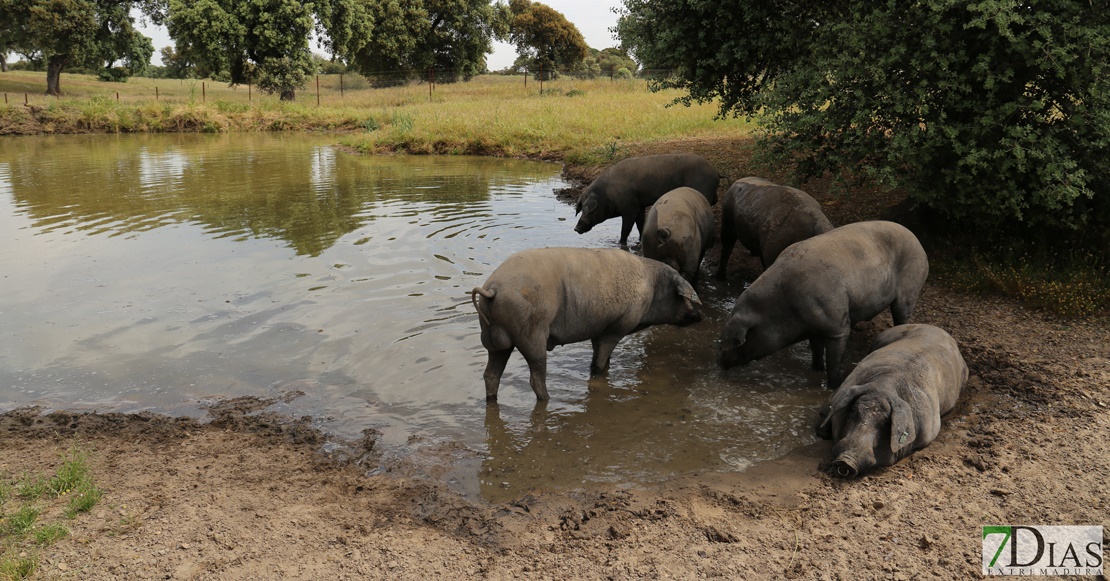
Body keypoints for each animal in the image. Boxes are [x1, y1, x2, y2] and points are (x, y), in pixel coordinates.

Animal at [470, 247, 701, 402]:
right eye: (684, 298)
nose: (700, 315)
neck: (652, 289)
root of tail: (492, 288)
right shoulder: (617, 328)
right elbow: (597, 365)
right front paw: (597, 376)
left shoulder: (599, 330)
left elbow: (603, 360)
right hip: (532, 336)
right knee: (536, 377)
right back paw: (549, 400)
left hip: (496, 342)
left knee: (491, 375)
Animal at [572, 154, 719, 247]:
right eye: (581, 208)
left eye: (589, 209)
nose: (576, 228)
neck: (607, 194)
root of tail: (715, 173)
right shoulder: (640, 207)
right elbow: (640, 225)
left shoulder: (630, 209)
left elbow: (626, 229)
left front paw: (621, 244)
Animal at [710, 221, 927, 388]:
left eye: (731, 341)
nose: (718, 361)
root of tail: (919, 243)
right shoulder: (813, 327)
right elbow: (816, 350)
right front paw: (815, 370)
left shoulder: (838, 326)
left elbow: (833, 360)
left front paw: (833, 386)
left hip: (909, 287)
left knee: (902, 314)